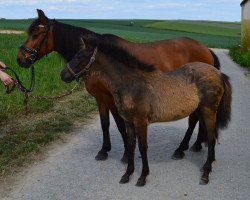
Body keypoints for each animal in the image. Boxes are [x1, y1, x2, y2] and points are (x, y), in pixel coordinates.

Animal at [16, 9, 221, 162]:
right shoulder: (100, 98)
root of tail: (206, 49)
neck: (97, 60)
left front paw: (125, 154)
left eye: (36, 34)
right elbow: (105, 123)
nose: (20, 59)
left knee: (194, 119)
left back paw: (182, 148)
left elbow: (120, 124)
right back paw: (195, 145)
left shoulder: (111, 97)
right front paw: (104, 150)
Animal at [60, 37, 232, 186]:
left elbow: (143, 147)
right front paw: (127, 174)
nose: (63, 75)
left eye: (79, 56)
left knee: (211, 138)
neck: (131, 83)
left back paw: (206, 173)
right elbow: (131, 145)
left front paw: (142, 177)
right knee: (206, 133)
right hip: (201, 111)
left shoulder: (140, 121)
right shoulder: (129, 121)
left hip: (208, 111)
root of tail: (219, 74)